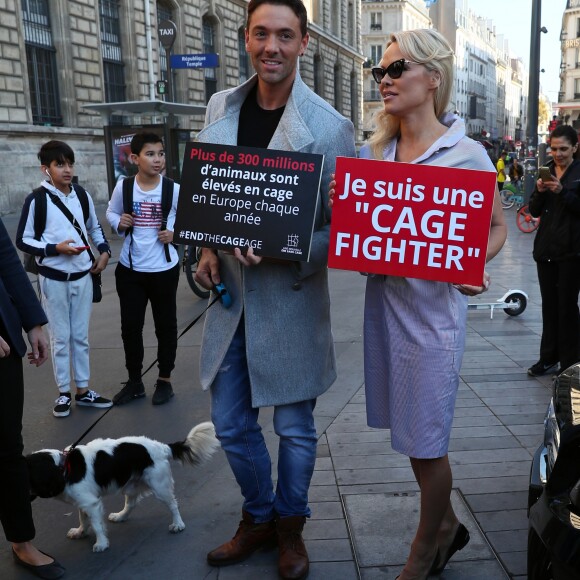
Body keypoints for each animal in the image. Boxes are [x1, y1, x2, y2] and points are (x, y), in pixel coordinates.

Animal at [24, 422, 220, 552]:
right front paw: (80, 532)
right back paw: (120, 516)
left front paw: (101, 543)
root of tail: (162, 447)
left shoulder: (91, 503)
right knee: (131, 504)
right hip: (132, 484)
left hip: (159, 487)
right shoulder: (83, 502)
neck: (63, 467)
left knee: (173, 504)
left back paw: (178, 524)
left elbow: (96, 524)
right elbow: (83, 519)